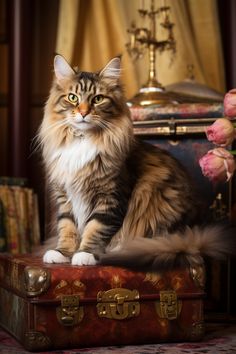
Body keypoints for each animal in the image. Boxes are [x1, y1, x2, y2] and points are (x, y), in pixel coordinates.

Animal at [38, 53, 234, 268]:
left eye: (97, 99)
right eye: (72, 98)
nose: (83, 113)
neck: (82, 139)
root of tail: (195, 232)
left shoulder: (110, 196)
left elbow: (96, 227)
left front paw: (85, 254)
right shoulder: (65, 195)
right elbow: (67, 227)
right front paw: (61, 253)